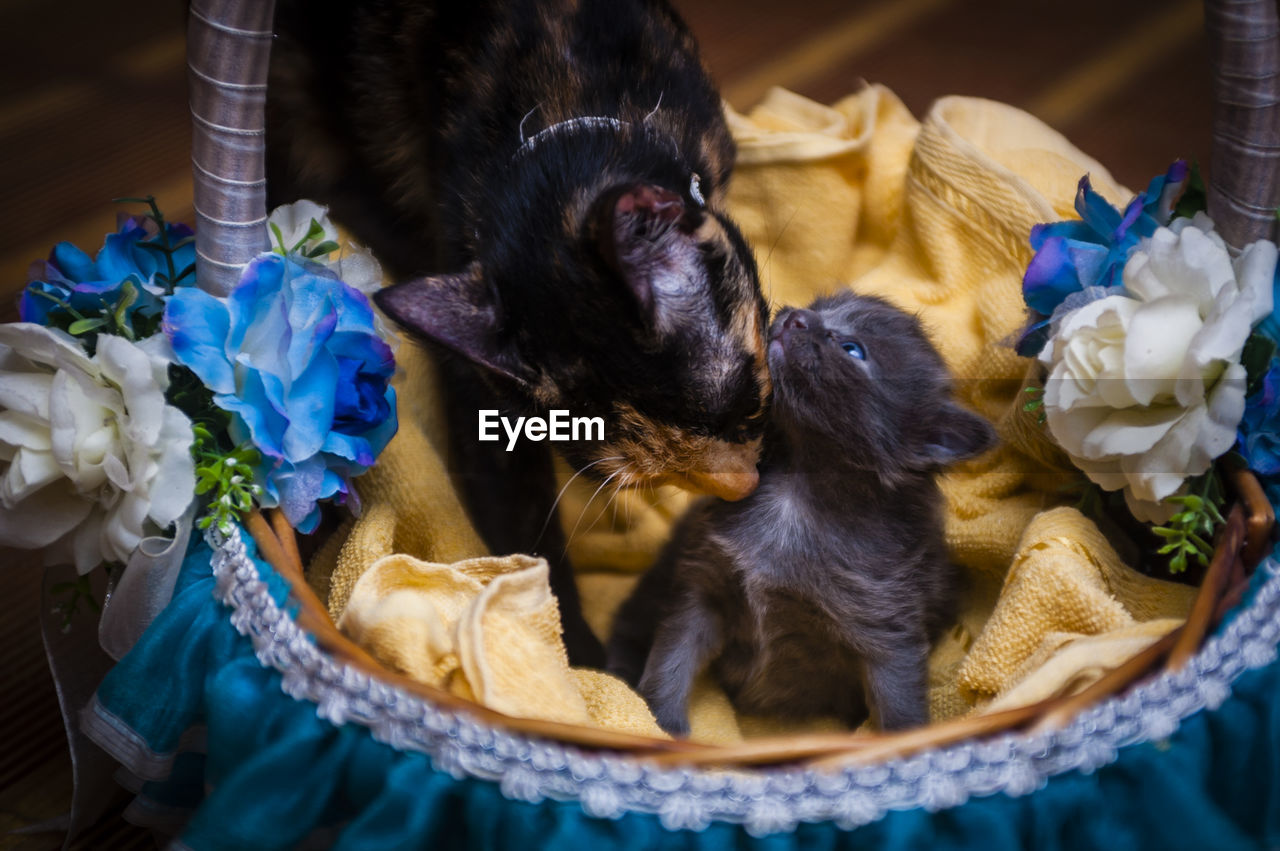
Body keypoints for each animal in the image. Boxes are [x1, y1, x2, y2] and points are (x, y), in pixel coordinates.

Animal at [604, 290, 993, 731]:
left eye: (852, 349)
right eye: (819, 305)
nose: (796, 318)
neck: (795, 489)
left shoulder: (888, 632)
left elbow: (900, 705)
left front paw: (903, 740)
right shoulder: (701, 589)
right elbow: (672, 658)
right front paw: (659, 722)